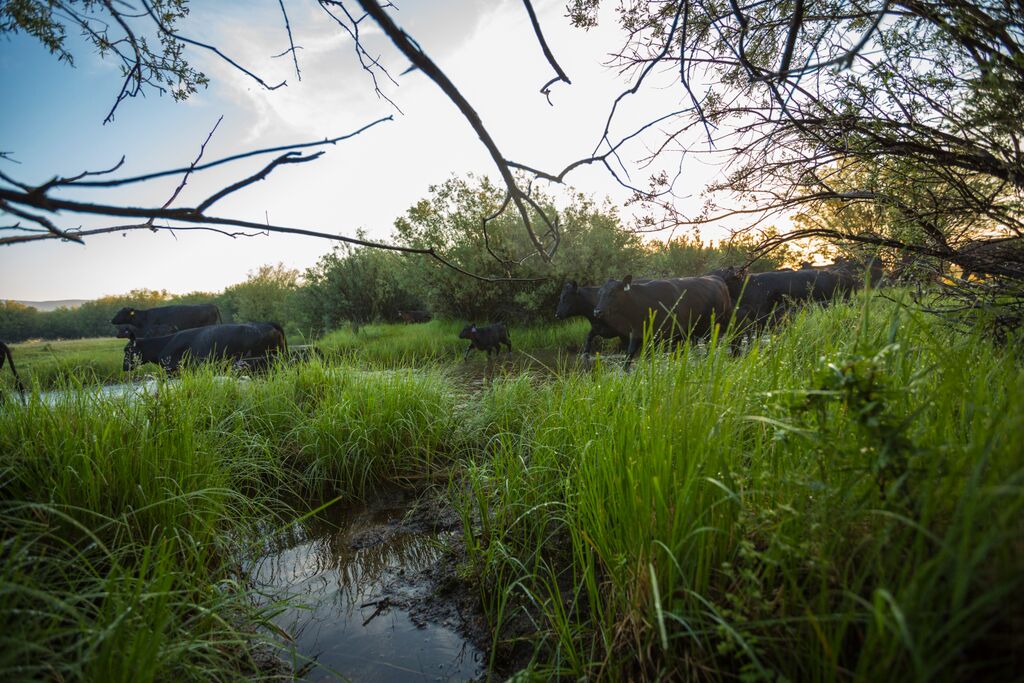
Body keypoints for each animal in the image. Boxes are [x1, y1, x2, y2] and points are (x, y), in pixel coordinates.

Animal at [593, 274, 737, 366]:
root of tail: (717, 278)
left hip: (720, 324)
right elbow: (630, 357)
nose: (597, 311)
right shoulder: (637, 334)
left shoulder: (673, 335)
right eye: (599, 293)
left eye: (612, 293)